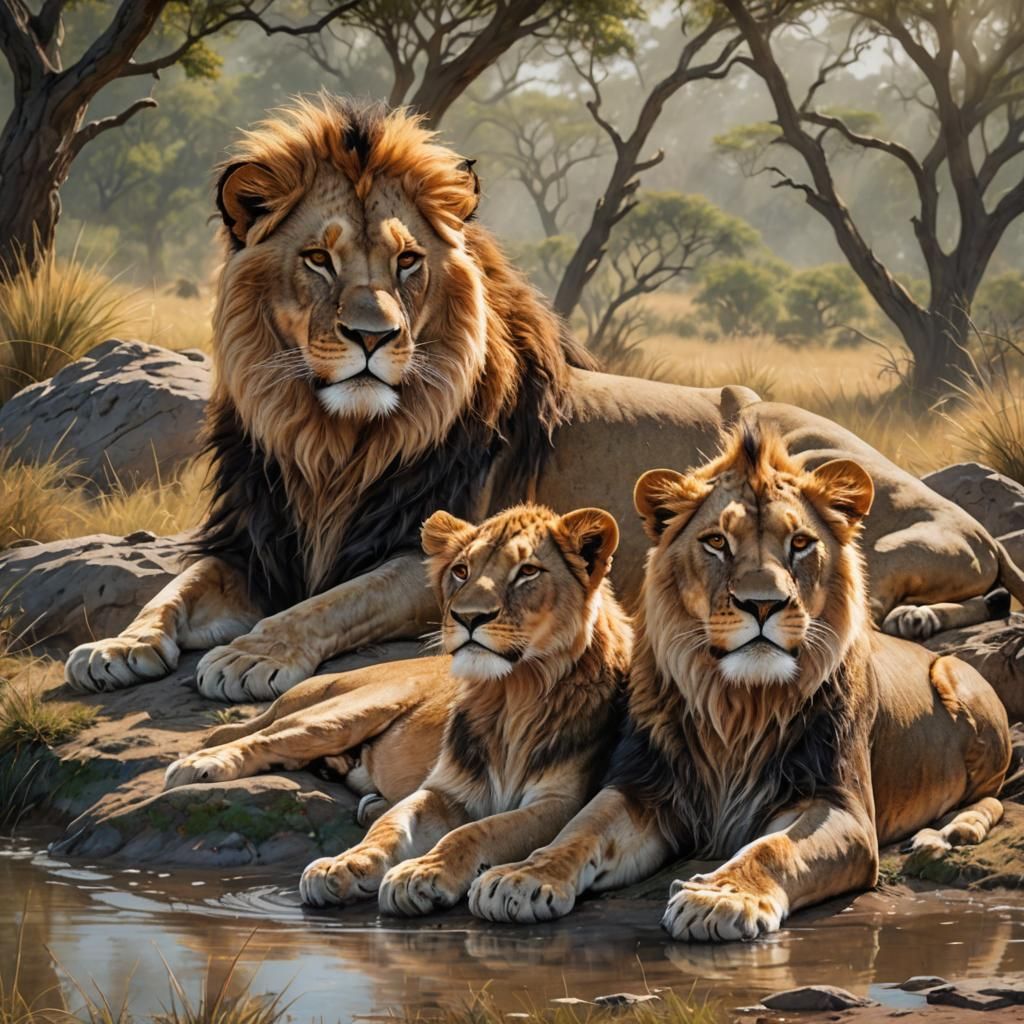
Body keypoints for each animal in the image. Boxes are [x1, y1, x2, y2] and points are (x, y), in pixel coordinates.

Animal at [63, 95, 1024, 702]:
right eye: (319, 259)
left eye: (407, 262)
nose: (375, 336)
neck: (333, 441)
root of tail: (968, 521)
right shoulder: (259, 540)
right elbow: (177, 588)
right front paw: (117, 646)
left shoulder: (427, 558)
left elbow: (330, 603)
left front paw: (252, 655)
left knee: (905, 605)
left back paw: (918, 610)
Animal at [290, 501, 632, 914]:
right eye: (461, 571)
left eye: (528, 571)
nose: (468, 617)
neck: (510, 696)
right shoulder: (446, 789)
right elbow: (389, 826)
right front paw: (343, 864)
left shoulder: (560, 803)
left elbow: (476, 830)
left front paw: (421, 873)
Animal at [469, 426, 1011, 942]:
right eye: (716, 542)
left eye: (800, 543)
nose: (762, 603)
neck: (739, 705)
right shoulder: (645, 786)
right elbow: (579, 830)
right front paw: (520, 877)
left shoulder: (844, 808)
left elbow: (773, 850)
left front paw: (722, 898)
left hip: (958, 682)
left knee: (992, 796)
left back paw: (946, 834)